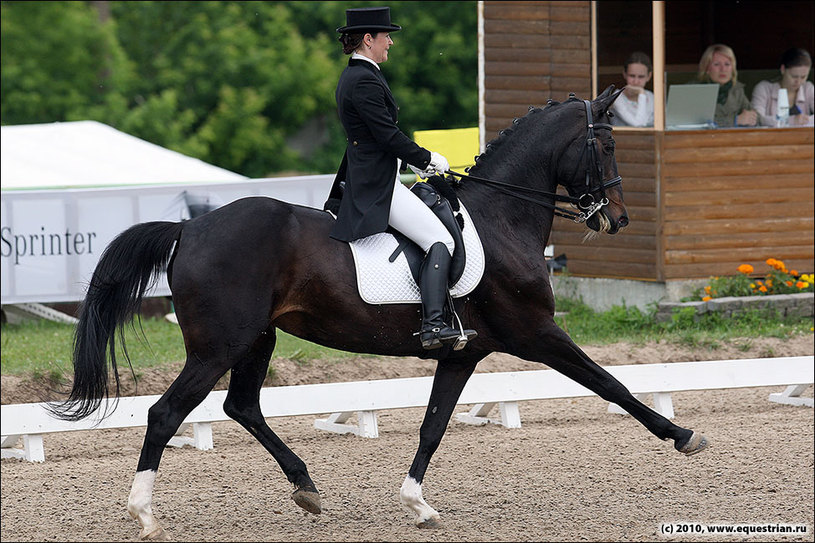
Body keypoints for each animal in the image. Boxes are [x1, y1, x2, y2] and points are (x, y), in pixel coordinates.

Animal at [54, 86, 712, 540]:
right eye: (608, 144)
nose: (616, 219)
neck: (502, 218)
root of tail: (189, 227)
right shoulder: (535, 333)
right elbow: (610, 383)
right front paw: (683, 435)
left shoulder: (466, 350)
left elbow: (434, 424)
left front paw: (417, 502)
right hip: (219, 345)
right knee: (166, 413)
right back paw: (145, 514)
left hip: (257, 340)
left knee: (242, 406)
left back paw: (308, 490)